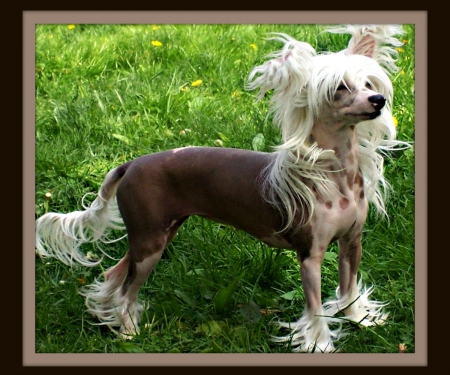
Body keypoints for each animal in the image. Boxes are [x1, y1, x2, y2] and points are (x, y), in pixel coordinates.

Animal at [36, 25, 404, 354]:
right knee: (127, 289)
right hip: (150, 243)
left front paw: (358, 319)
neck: (334, 174)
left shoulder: (351, 242)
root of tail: (130, 164)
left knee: (115, 272)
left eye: (368, 83)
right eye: (339, 88)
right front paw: (320, 343)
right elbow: (314, 308)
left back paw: (109, 315)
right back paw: (129, 332)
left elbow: (349, 288)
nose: (378, 99)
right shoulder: (309, 255)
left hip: (152, 235)